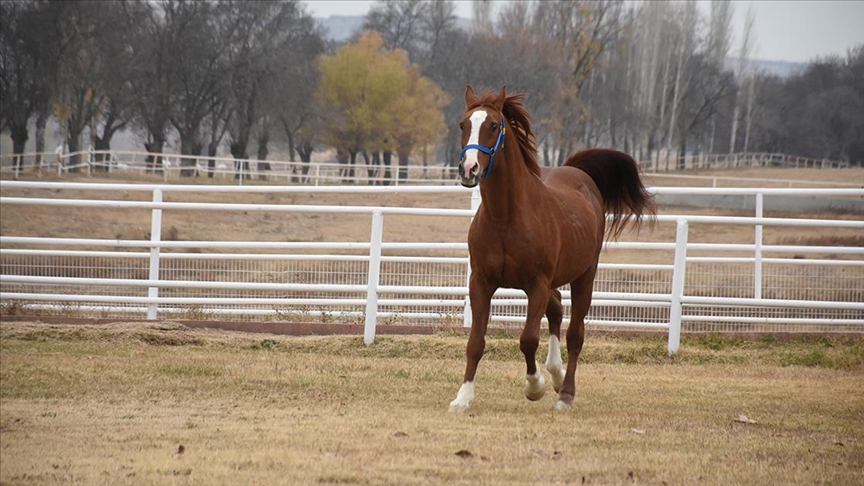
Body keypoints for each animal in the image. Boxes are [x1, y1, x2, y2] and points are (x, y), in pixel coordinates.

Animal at [448, 85, 652, 412]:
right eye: (462, 125)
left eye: (492, 125)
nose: (469, 168)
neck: (506, 218)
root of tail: (578, 173)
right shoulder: (480, 282)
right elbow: (475, 342)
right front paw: (463, 397)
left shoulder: (537, 285)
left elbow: (528, 339)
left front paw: (535, 386)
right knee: (556, 310)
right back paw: (556, 373)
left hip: (584, 276)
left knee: (575, 334)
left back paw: (565, 394)